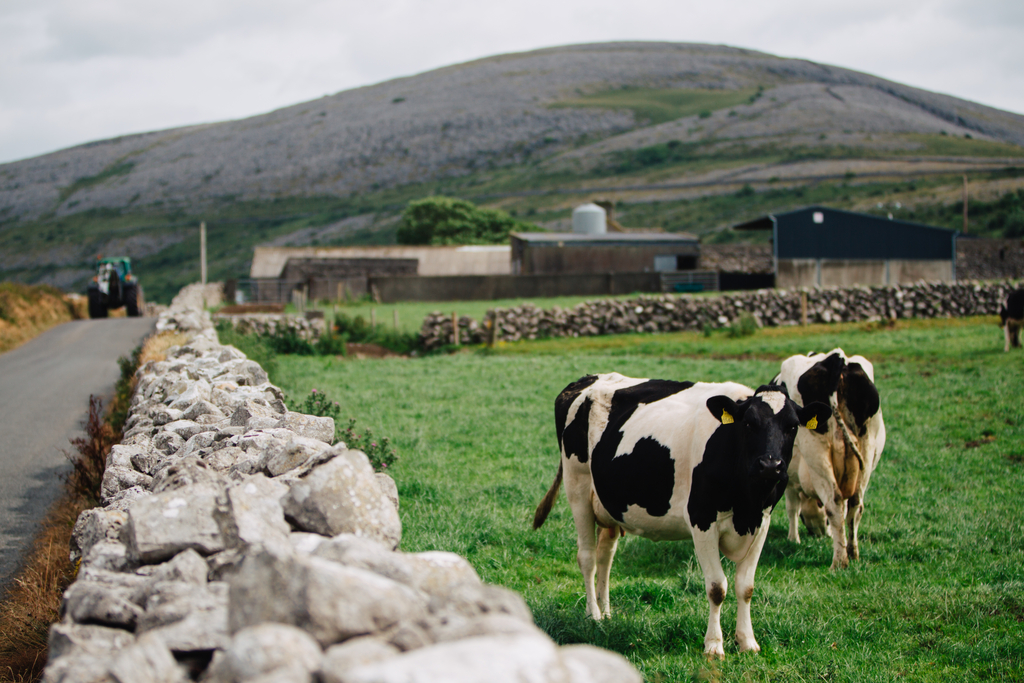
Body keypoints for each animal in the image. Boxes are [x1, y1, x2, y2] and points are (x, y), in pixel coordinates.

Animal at [532, 373, 830, 657]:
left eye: (792, 426)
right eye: (748, 424)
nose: (771, 465)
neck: (746, 503)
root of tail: (586, 379)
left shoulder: (762, 522)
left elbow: (746, 587)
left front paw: (747, 642)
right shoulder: (702, 519)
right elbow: (717, 587)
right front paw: (714, 645)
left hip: (609, 504)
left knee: (605, 555)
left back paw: (606, 613)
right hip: (578, 488)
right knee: (587, 557)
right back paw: (593, 614)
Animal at [774, 349, 886, 570]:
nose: (820, 535)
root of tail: (836, 358)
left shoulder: (790, 476)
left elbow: (792, 507)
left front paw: (793, 539)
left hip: (817, 452)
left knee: (835, 503)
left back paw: (839, 561)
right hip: (867, 451)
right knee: (855, 506)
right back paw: (852, 553)